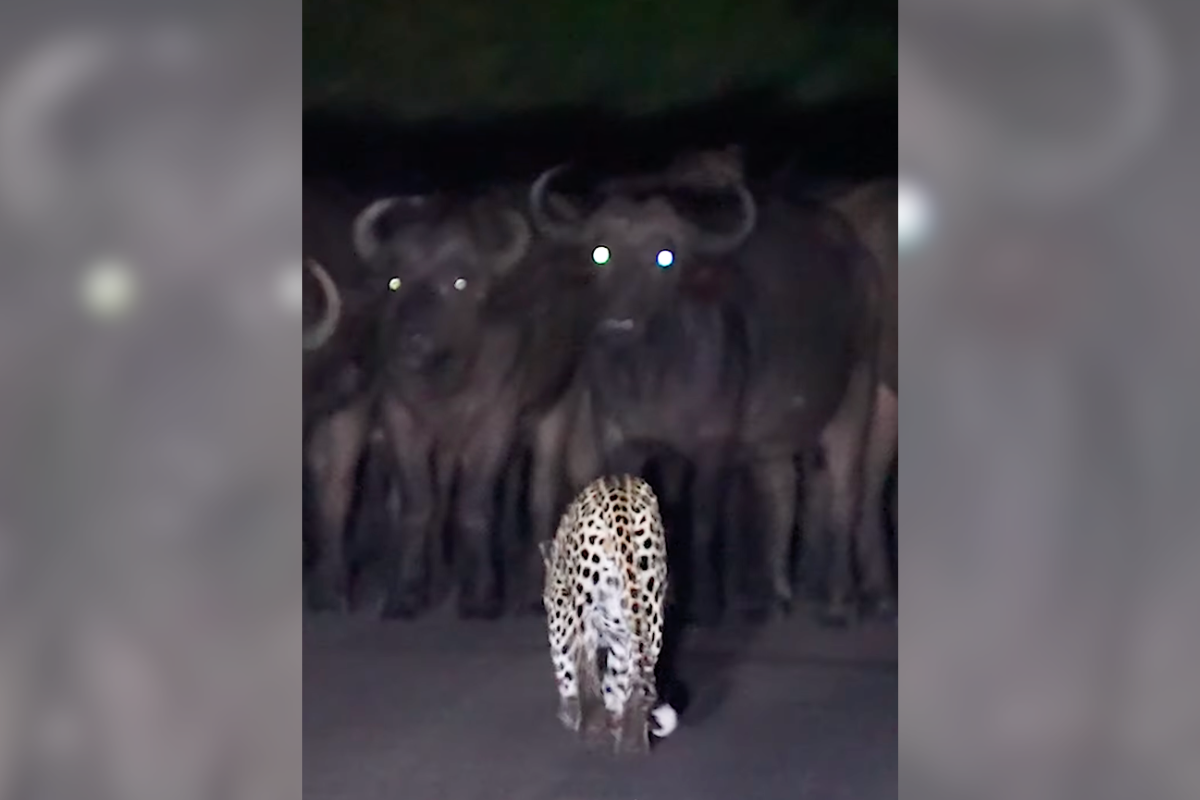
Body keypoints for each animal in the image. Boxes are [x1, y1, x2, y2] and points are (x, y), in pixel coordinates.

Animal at [525, 151, 883, 623]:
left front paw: (708, 603)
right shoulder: (623, 441)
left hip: (855, 399)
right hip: (772, 434)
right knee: (781, 489)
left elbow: (704, 522)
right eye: (600, 253)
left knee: (845, 492)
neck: (651, 378)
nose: (619, 327)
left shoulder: (713, 447)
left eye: (665, 256)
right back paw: (777, 595)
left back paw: (841, 600)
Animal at [540, 472, 681, 753]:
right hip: (650, 612)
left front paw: (569, 715)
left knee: (585, 666)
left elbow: (565, 666)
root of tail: (619, 498)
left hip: (582, 610)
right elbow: (616, 679)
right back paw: (631, 746)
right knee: (638, 680)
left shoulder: (561, 617)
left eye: (546, 600)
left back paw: (593, 731)